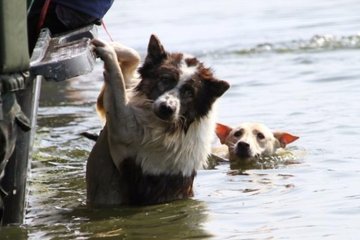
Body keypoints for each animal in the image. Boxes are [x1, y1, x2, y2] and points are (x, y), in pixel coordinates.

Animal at [86, 34, 229, 206]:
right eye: (165, 79)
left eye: (189, 92)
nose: (167, 108)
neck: (178, 125)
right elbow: (133, 59)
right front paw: (114, 46)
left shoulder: (123, 131)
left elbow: (118, 82)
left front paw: (109, 52)